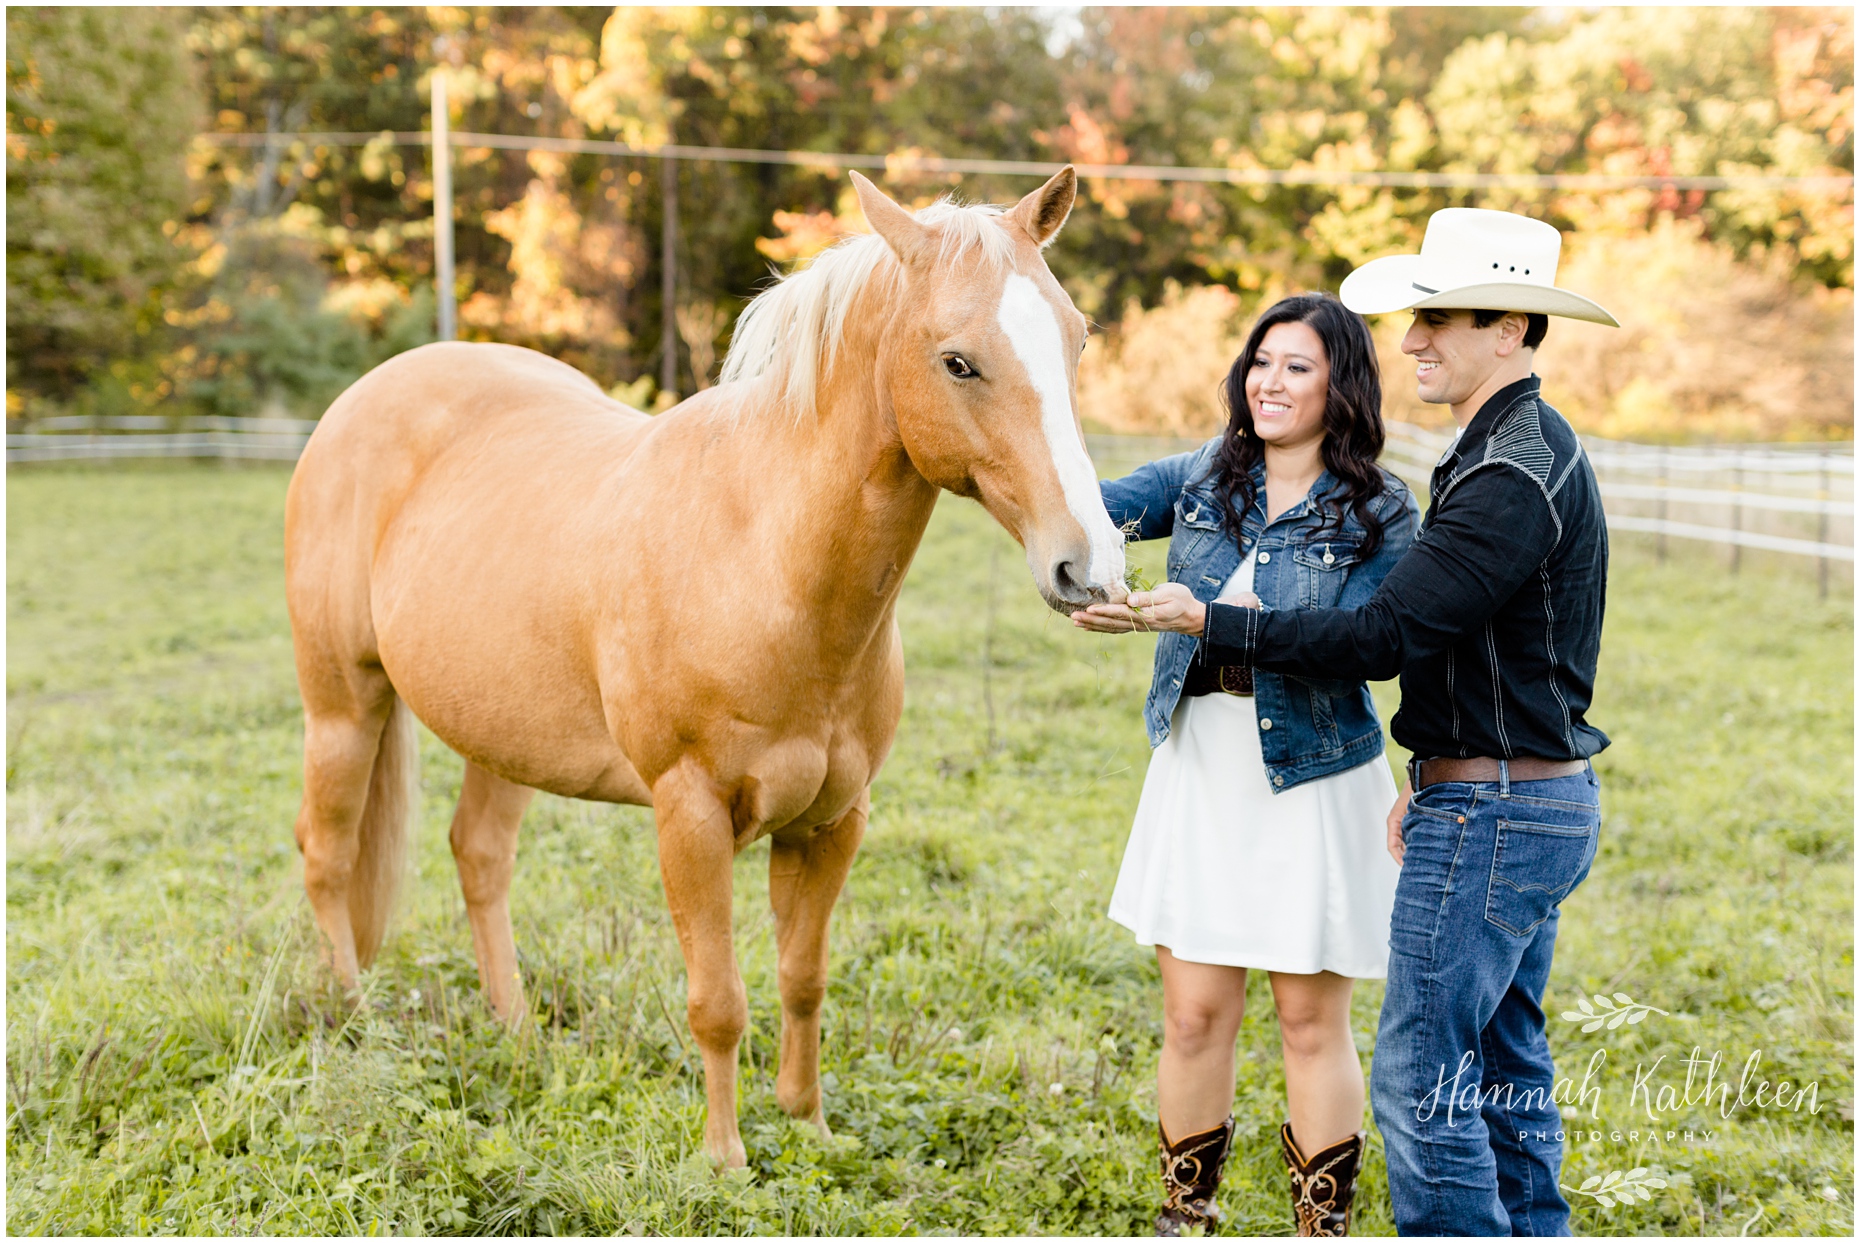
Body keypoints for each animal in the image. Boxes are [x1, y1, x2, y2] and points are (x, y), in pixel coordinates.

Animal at [277, 164, 1116, 1168]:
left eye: (1074, 336)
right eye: (958, 362)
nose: (1088, 564)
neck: (761, 559)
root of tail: (362, 400)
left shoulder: (834, 820)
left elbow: (802, 976)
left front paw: (809, 1123)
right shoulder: (690, 815)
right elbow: (718, 1000)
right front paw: (723, 1158)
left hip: (503, 734)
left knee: (479, 856)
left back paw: (514, 1026)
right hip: (344, 702)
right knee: (327, 853)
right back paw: (354, 1015)